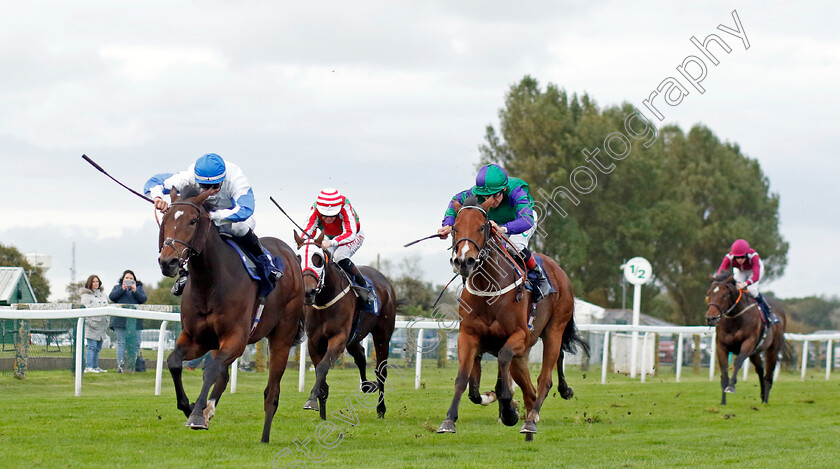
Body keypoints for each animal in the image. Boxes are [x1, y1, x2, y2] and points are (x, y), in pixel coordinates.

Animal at [159, 187, 304, 442]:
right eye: (165, 219)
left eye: (193, 221)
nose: (168, 261)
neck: (210, 282)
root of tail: (291, 256)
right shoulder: (198, 338)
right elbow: (175, 362)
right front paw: (190, 407)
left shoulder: (236, 337)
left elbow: (211, 370)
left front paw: (196, 414)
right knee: (224, 376)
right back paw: (209, 409)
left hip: (282, 336)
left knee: (272, 391)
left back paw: (264, 438)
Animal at [292, 232, 398, 418]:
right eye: (298, 257)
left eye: (318, 259)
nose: (308, 292)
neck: (324, 300)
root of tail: (384, 281)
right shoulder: (314, 341)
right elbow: (321, 372)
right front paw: (322, 407)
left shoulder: (339, 338)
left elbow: (322, 367)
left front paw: (311, 400)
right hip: (354, 337)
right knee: (360, 356)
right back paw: (366, 386)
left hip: (382, 335)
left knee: (381, 371)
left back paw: (381, 409)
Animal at [440, 196, 584, 436]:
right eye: (455, 229)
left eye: (482, 227)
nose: (464, 261)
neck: (488, 290)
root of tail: (560, 271)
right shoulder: (468, 336)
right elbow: (465, 382)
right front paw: (449, 420)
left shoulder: (519, 336)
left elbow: (504, 360)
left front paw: (508, 411)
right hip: (523, 355)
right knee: (530, 389)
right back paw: (528, 411)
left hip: (553, 331)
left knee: (545, 379)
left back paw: (530, 420)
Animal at [708, 272, 788, 404]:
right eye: (709, 294)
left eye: (724, 295)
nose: (711, 318)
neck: (735, 319)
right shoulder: (721, 346)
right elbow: (724, 370)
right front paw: (723, 401)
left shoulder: (748, 342)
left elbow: (738, 362)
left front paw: (731, 386)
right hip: (754, 352)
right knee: (760, 369)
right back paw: (762, 396)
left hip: (772, 348)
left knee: (768, 375)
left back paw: (765, 400)